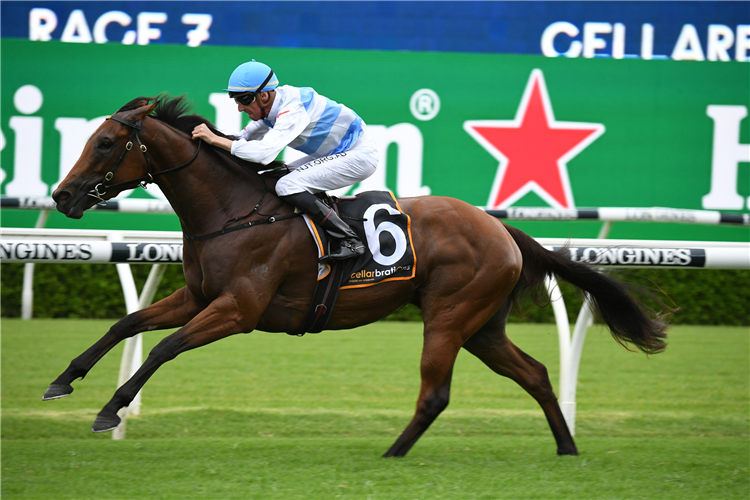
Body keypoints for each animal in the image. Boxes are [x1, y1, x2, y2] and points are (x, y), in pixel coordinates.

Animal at [45, 94, 668, 458]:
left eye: (106, 142)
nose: (62, 196)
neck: (233, 211)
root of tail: (499, 228)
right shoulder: (198, 295)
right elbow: (127, 324)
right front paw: (63, 381)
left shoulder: (238, 309)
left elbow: (163, 348)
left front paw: (108, 411)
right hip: (483, 326)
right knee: (535, 373)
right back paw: (566, 448)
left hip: (450, 315)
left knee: (435, 393)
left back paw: (392, 454)